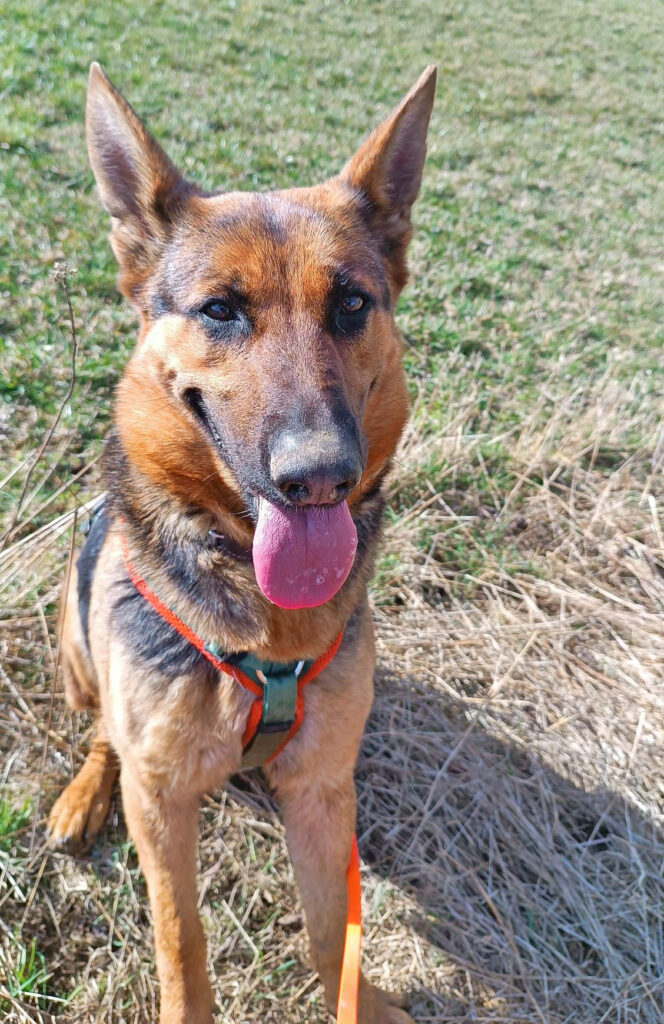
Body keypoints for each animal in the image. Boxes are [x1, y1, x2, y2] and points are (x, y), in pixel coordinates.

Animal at [47, 61, 436, 1024]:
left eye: (351, 303)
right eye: (220, 310)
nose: (320, 475)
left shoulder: (323, 790)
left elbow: (332, 927)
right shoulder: (162, 803)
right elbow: (180, 938)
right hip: (76, 646)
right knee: (103, 730)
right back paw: (82, 794)